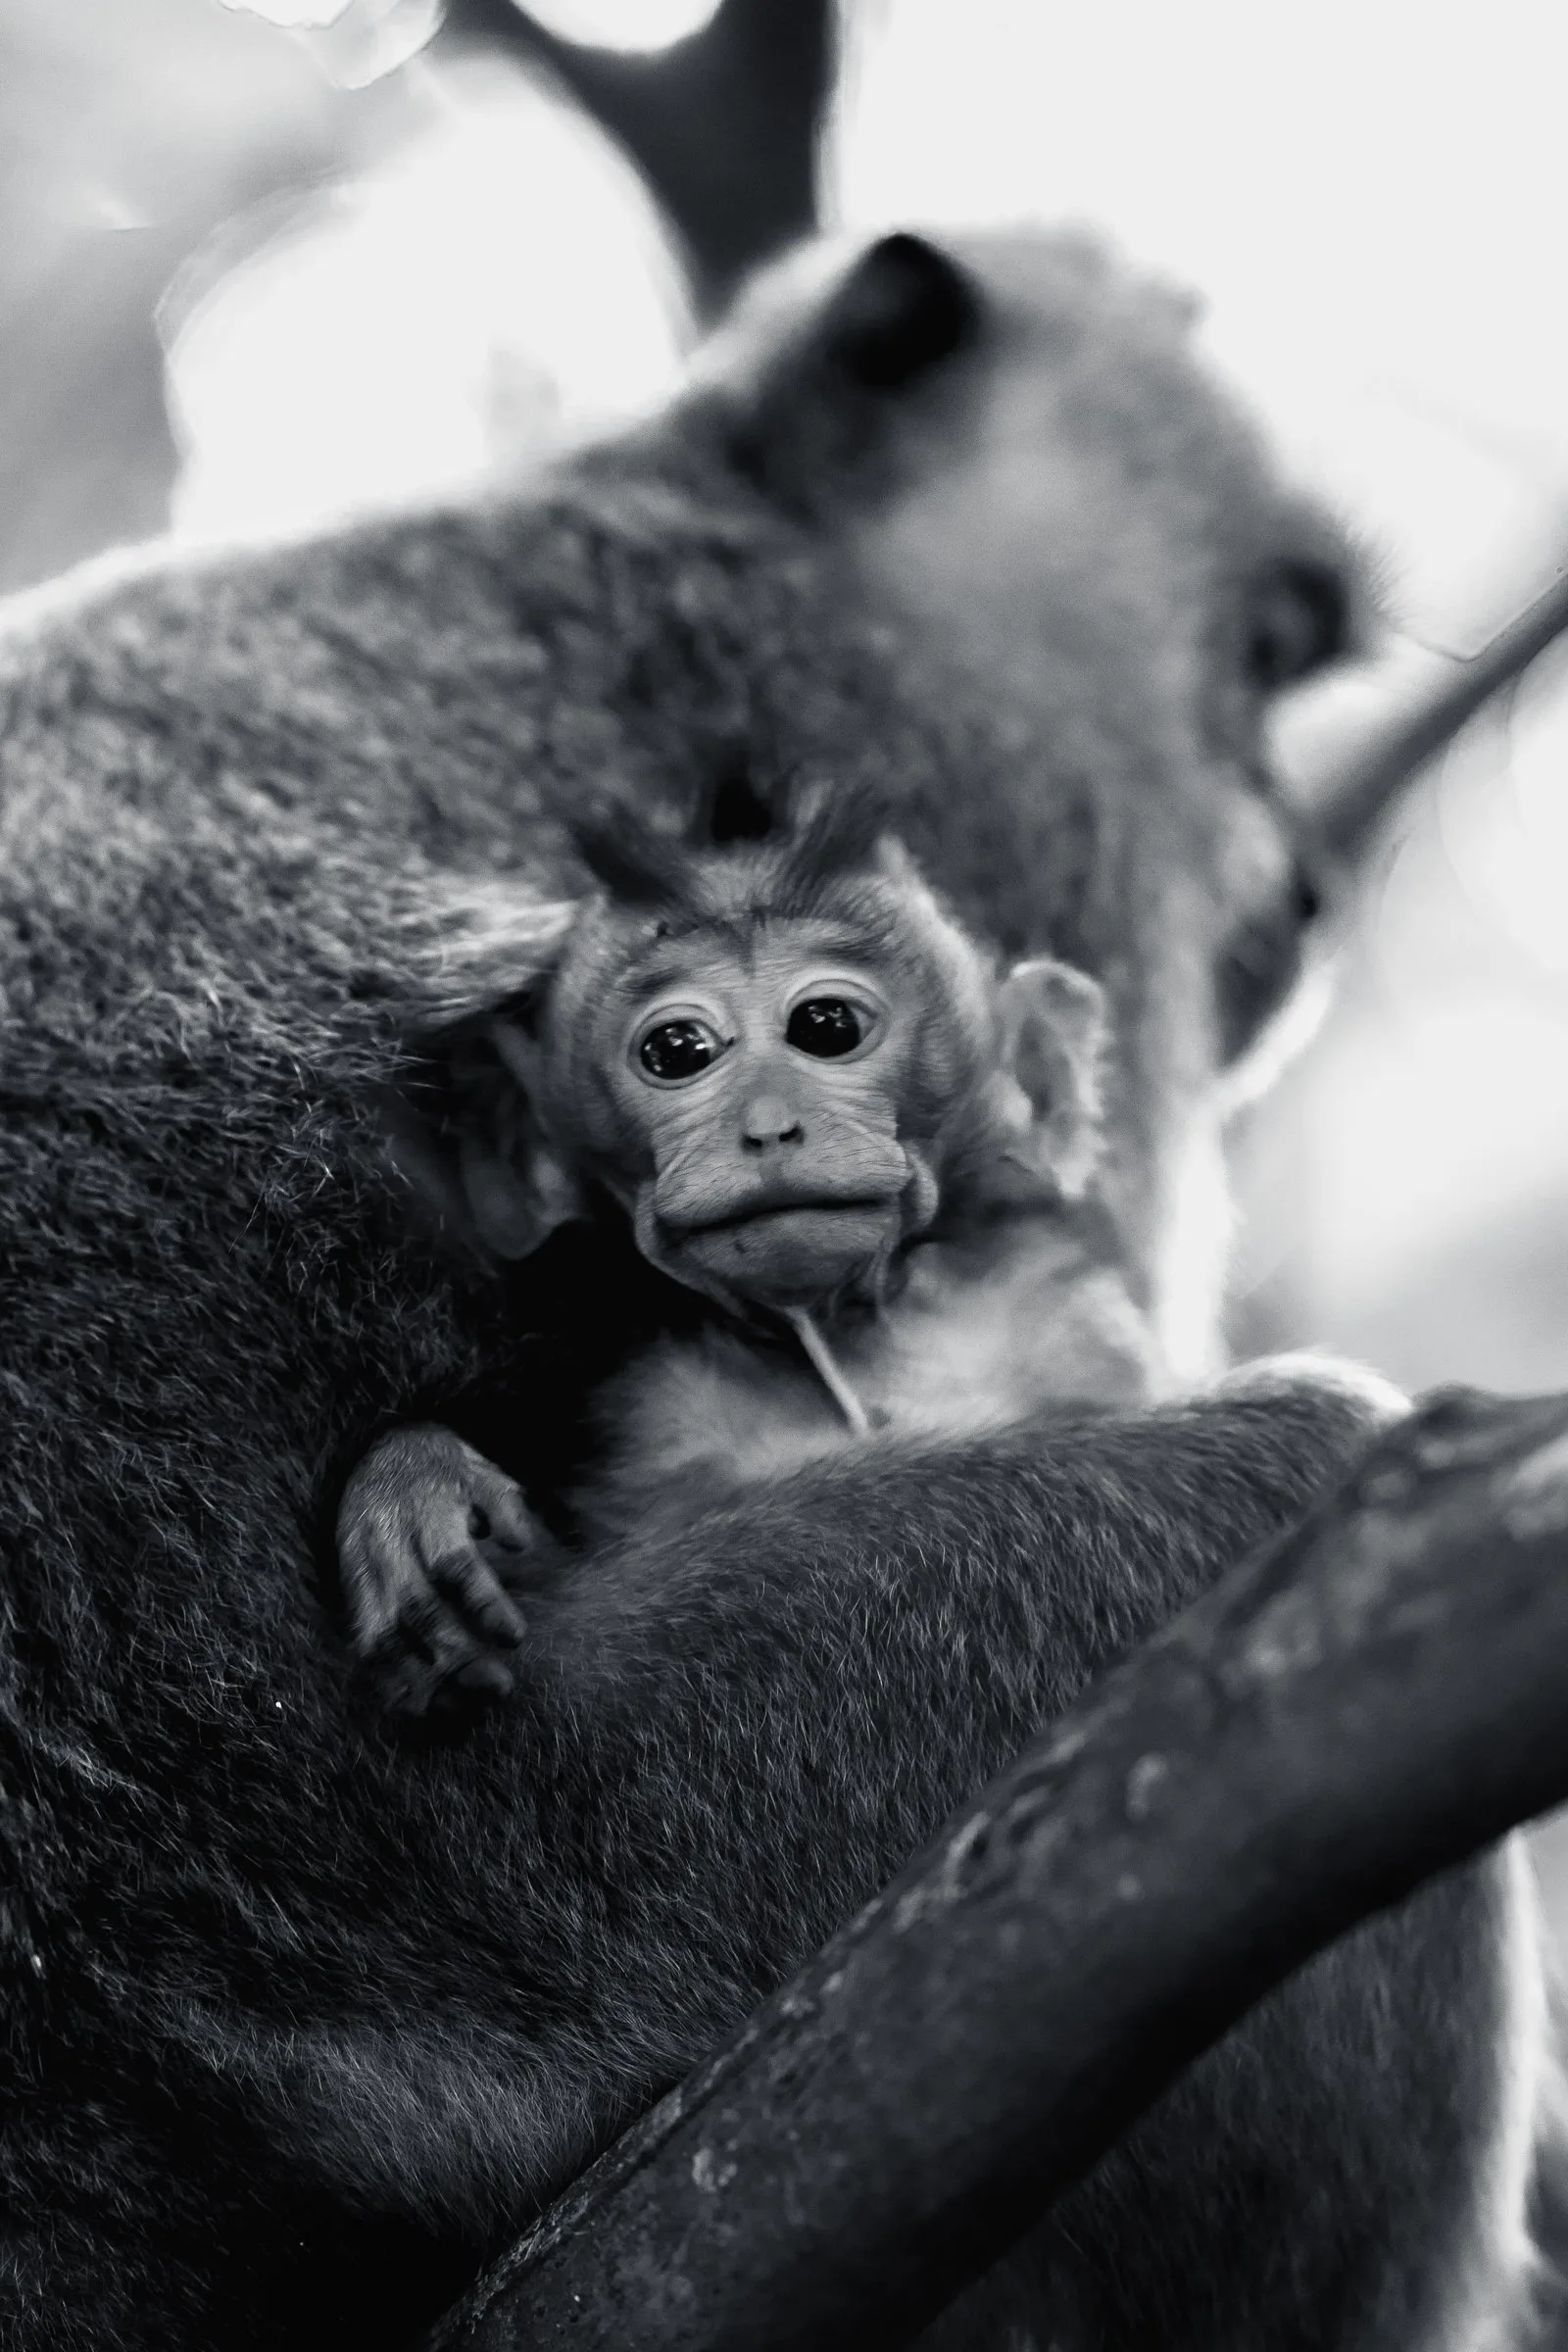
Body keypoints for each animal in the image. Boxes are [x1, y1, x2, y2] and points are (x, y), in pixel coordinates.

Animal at [337, 788, 1160, 1713]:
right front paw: (418, 1488)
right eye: (676, 1051)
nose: (768, 1127)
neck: (844, 1340)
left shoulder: (1066, 1320)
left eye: (826, 1027)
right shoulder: (650, 1414)